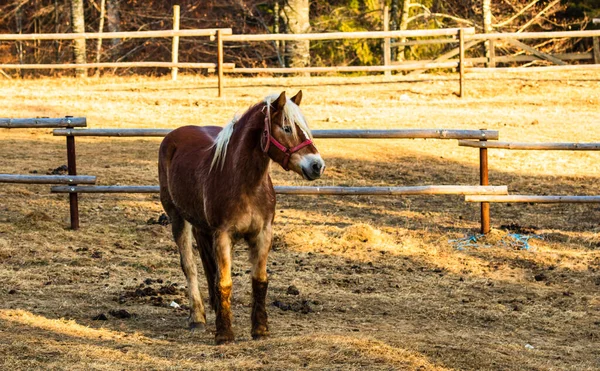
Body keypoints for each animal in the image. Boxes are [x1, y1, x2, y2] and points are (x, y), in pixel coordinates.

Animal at [157, 91, 322, 344]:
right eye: (286, 128)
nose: (317, 165)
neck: (246, 184)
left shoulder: (263, 234)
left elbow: (259, 280)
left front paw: (260, 329)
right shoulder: (223, 235)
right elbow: (224, 281)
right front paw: (224, 334)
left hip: (202, 227)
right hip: (178, 218)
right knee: (190, 267)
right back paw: (197, 318)